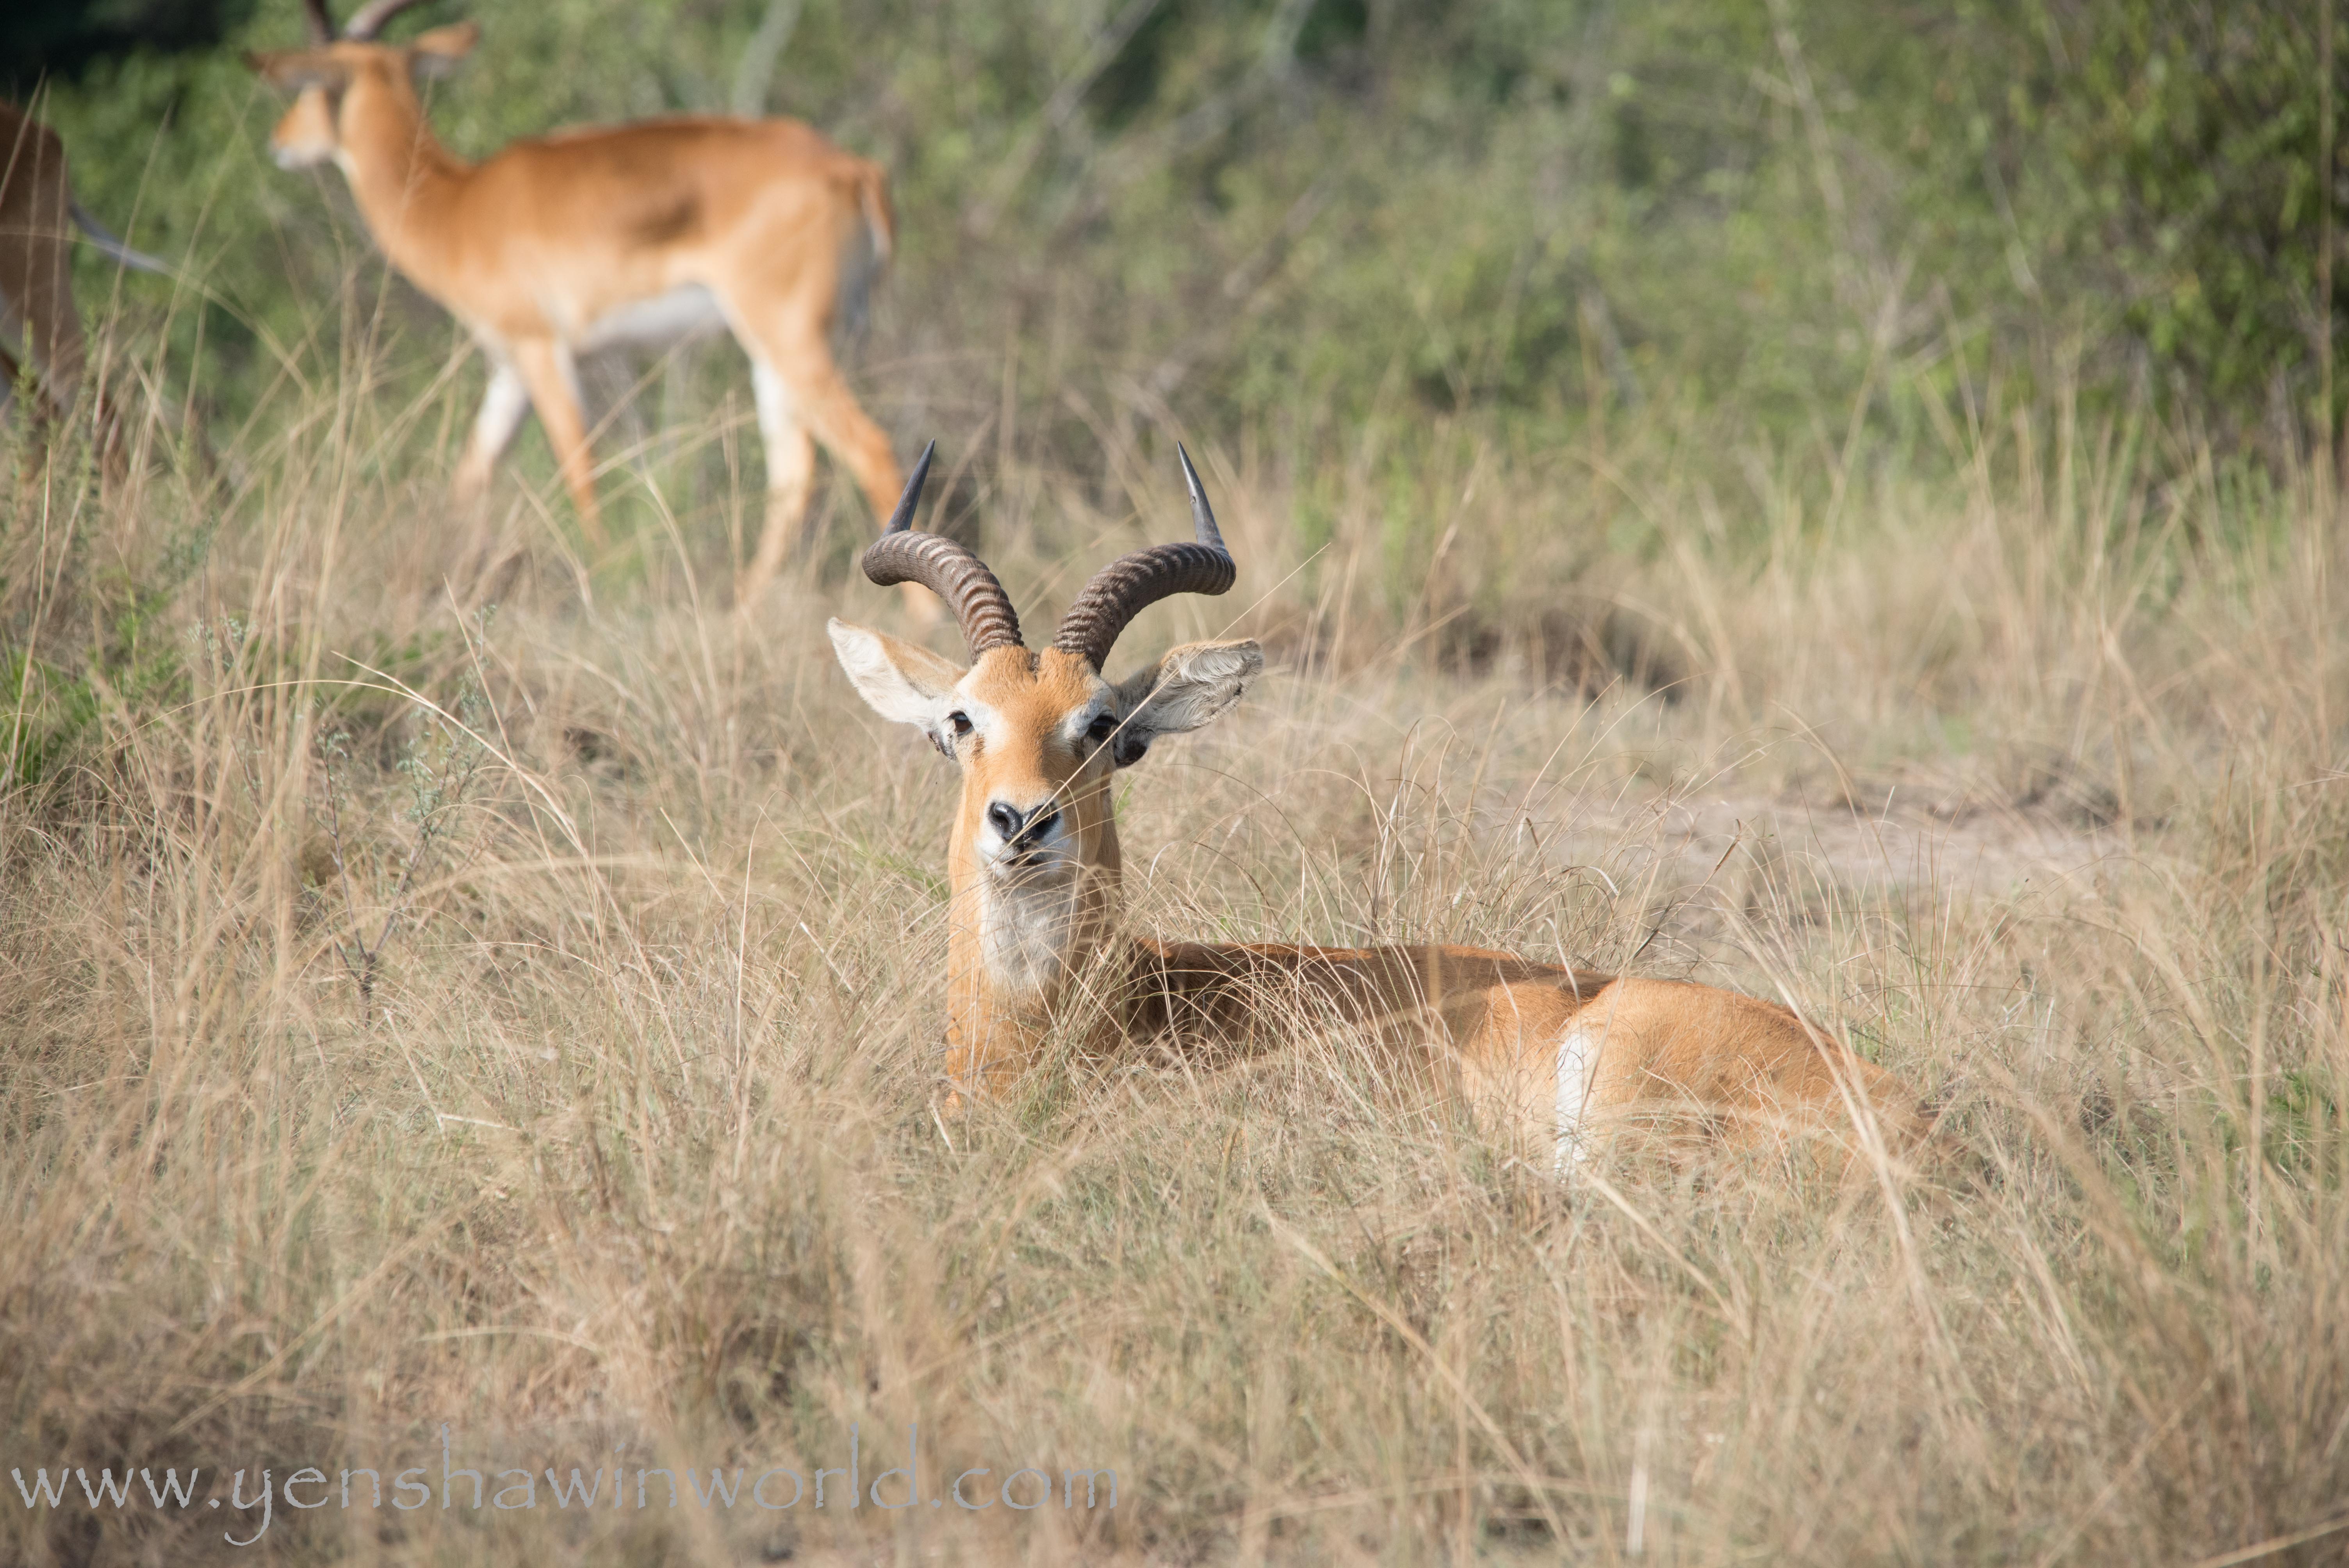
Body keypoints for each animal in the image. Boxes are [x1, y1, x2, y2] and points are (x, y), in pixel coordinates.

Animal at [247, 0, 923, 612]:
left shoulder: (542, 350)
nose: (279, 141)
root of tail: (855, 170)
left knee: (870, 450)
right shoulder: (507, 370)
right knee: (795, 476)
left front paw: (605, 584)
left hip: (787, 338)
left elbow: (580, 468)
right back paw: (742, 609)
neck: (455, 206)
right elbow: (470, 476)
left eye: (312, 85)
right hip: (784, 351)